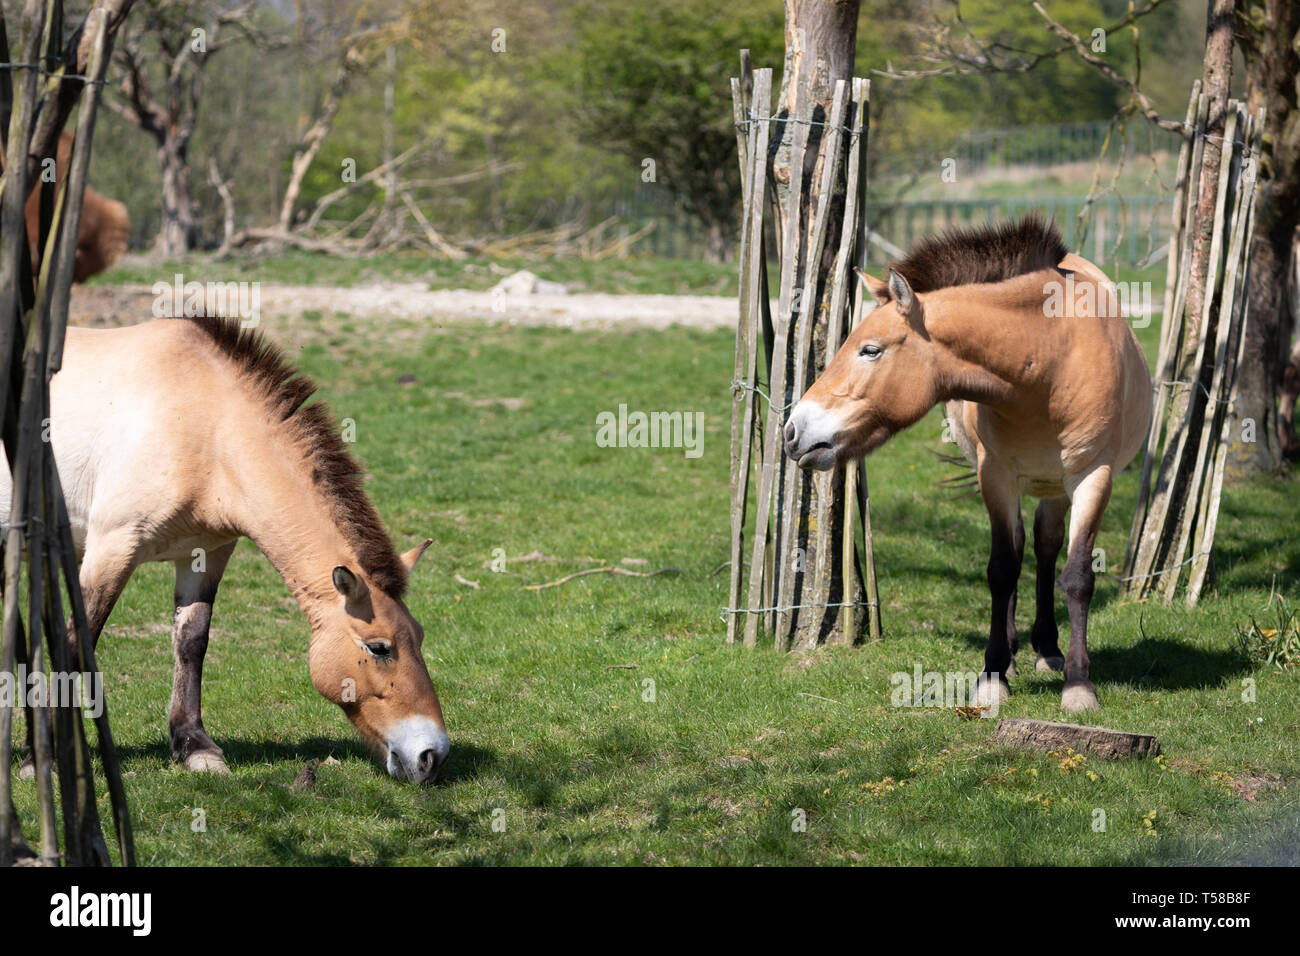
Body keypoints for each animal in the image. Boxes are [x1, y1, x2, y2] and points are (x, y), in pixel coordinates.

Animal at [1, 317, 447, 780]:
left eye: (419, 635)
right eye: (379, 647)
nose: (432, 755)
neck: (205, 425)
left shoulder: (206, 552)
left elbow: (192, 641)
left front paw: (194, 747)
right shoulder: (112, 547)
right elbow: (75, 642)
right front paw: (44, 760)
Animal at [780, 217, 1149, 712]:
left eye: (870, 350)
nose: (793, 430)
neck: (1049, 362)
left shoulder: (1094, 477)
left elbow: (1077, 576)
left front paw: (1078, 685)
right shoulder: (994, 475)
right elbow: (1002, 569)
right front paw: (993, 675)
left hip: (1055, 487)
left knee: (1047, 548)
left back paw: (1049, 651)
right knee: (1023, 546)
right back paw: (1015, 652)